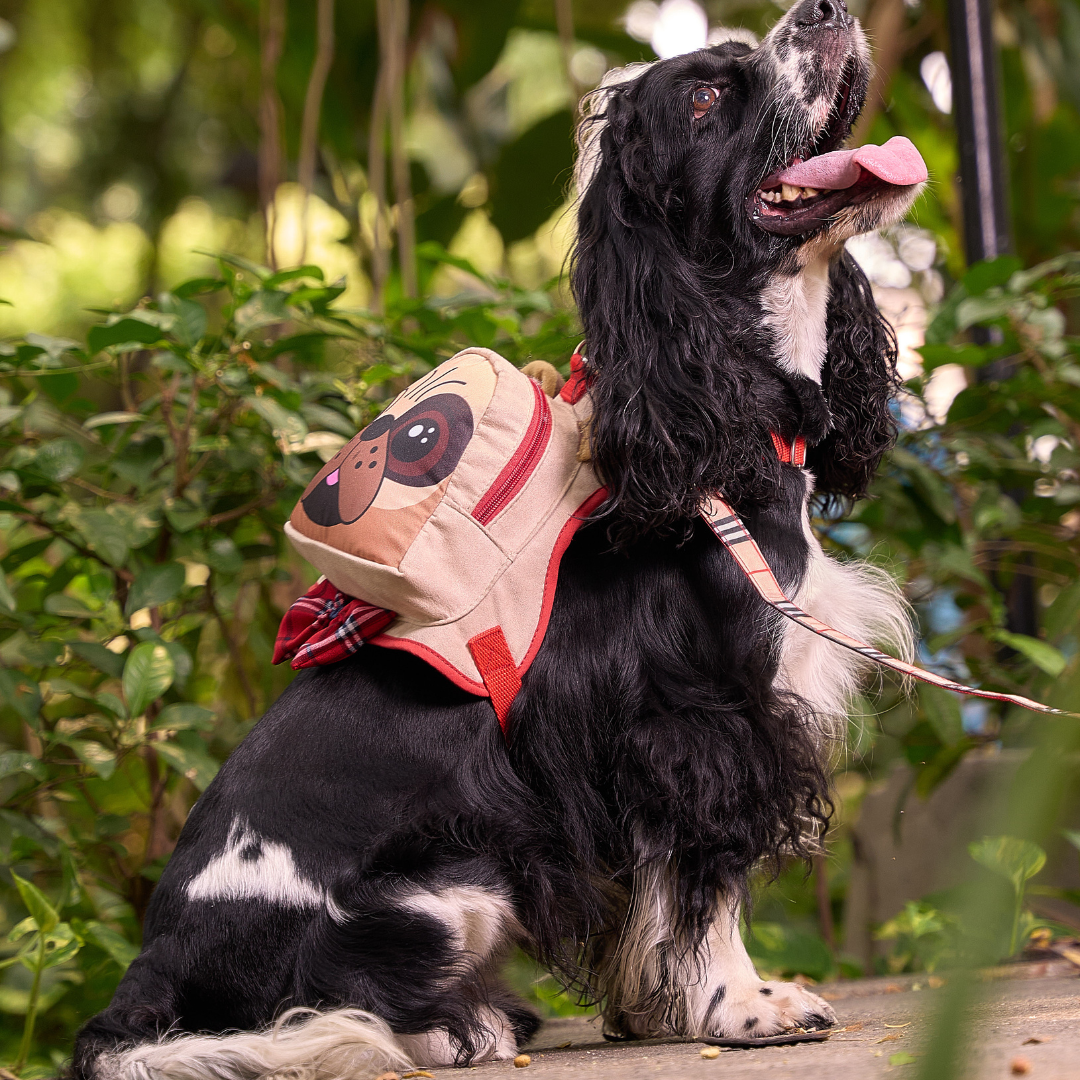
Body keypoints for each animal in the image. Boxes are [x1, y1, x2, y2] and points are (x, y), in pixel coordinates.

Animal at [76, 4, 920, 1075]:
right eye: (706, 97)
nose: (822, 10)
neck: (715, 425)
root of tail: (146, 980)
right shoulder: (704, 724)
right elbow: (707, 882)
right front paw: (743, 1008)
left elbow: (650, 910)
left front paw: (651, 1009)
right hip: (457, 884)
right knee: (332, 1017)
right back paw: (461, 1024)